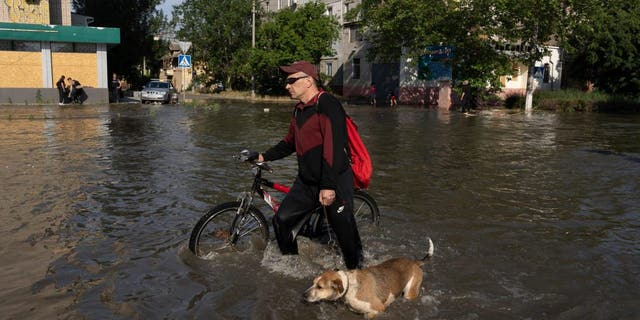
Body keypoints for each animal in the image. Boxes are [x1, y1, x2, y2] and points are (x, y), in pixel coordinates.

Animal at [304, 238, 436, 318]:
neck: (349, 286)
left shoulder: (378, 309)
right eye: (313, 282)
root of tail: (414, 262)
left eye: (320, 287)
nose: (303, 295)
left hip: (409, 293)